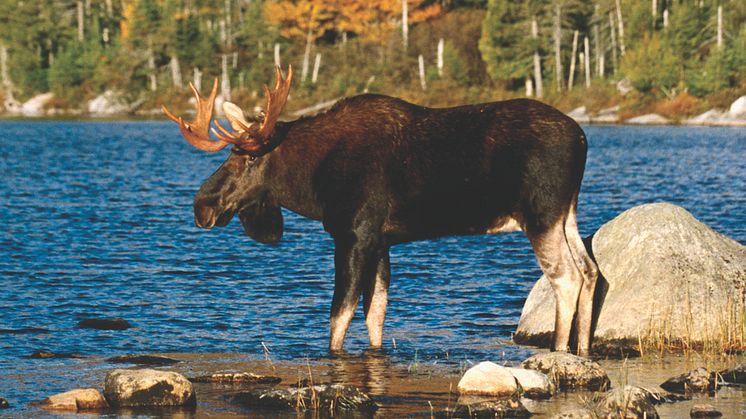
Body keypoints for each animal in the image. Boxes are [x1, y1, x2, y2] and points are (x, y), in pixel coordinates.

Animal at [163, 67, 600, 356]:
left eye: (247, 158)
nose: (201, 205)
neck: (311, 183)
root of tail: (583, 138)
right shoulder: (382, 241)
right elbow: (376, 314)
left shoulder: (354, 234)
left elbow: (339, 316)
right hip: (567, 213)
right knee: (591, 269)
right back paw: (582, 351)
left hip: (540, 214)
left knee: (566, 276)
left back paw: (559, 353)